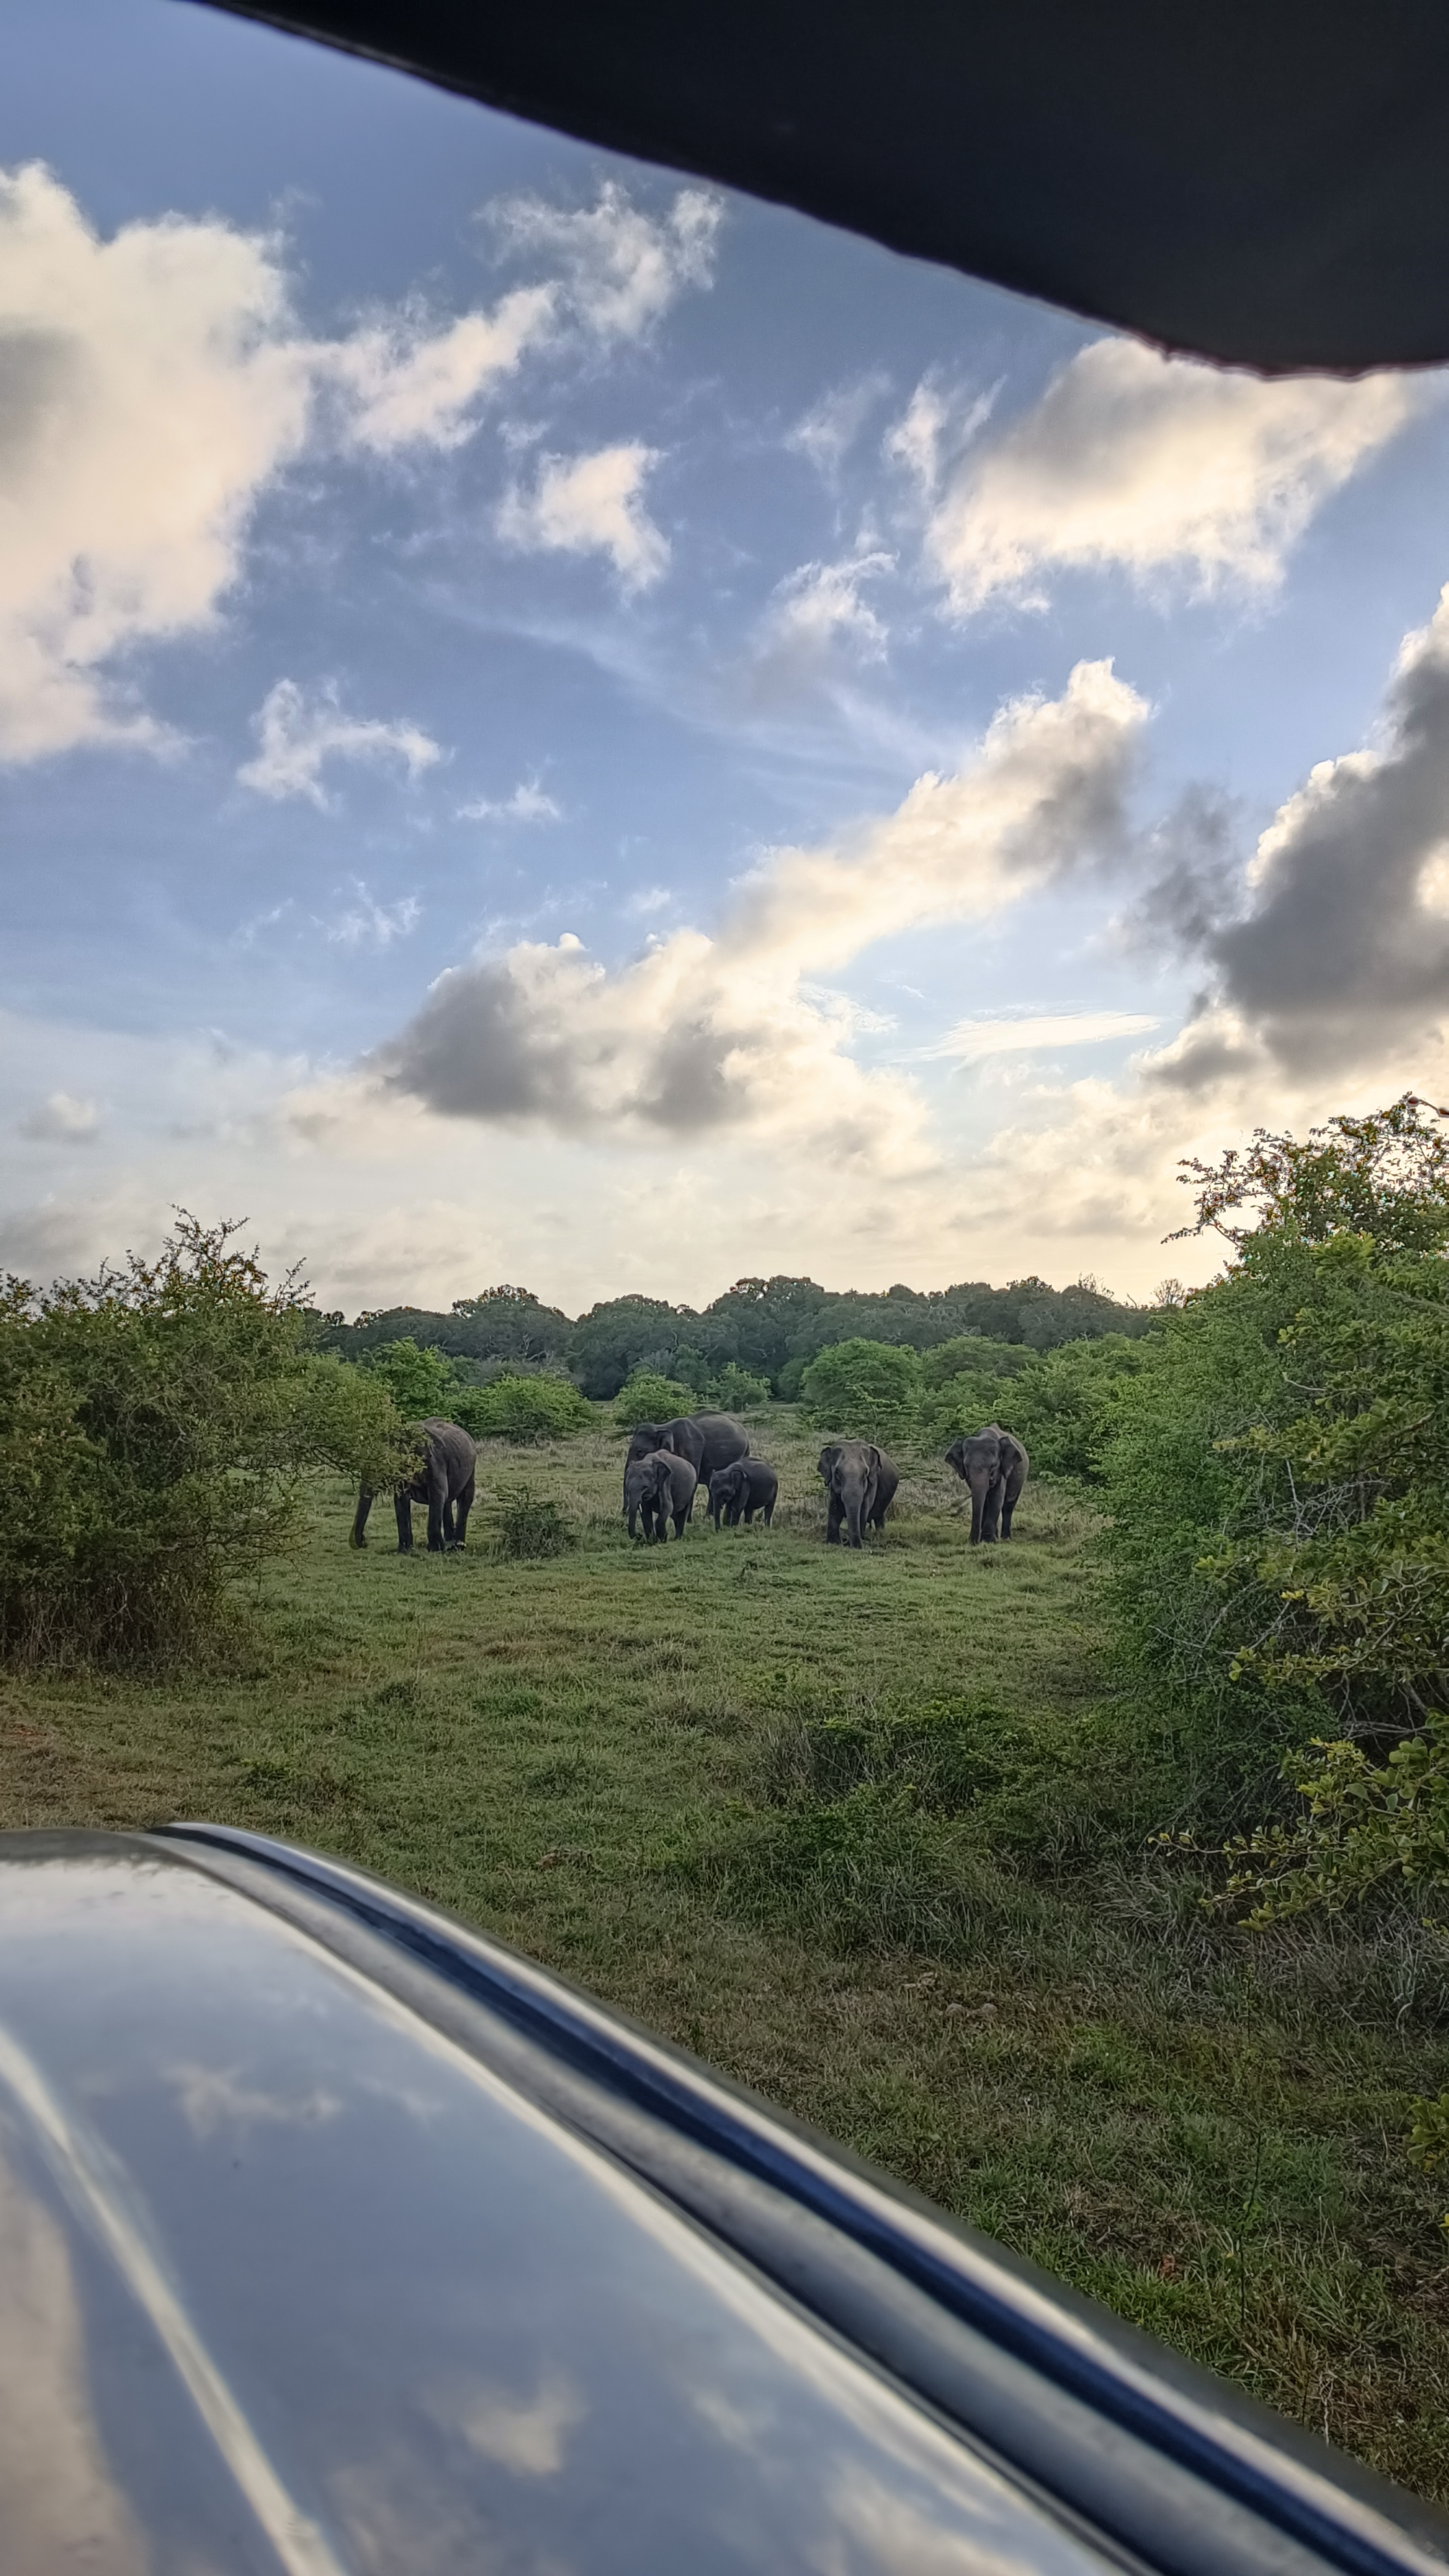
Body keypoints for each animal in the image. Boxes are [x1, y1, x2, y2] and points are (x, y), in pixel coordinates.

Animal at [348, 1422, 477, 1555]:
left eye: (382, 1467)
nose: (364, 1541)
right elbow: (401, 1501)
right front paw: (404, 1551)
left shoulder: (434, 1463)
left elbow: (438, 1495)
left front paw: (434, 1549)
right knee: (447, 1501)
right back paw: (449, 1541)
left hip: (471, 1468)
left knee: (465, 1497)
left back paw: (458, 1546)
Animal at [621, 1443, 696, 1535]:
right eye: (628, 1489)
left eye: (645, 1487)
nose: (638, 1535)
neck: (648, 1461)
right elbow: (646, 1513)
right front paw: (653, 1539)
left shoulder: (665, 1483)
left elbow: (667, 1508)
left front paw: (663, 1537)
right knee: (675, 1516)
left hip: (692, 1490)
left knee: (682, 1515)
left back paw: (678, 1537)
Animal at [815, 1443, 892, 1535]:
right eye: (838, 1473)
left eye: (865, 1474)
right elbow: (834, 1507)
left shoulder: (872, 1482)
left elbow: (864, 1509)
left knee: (879, 1517)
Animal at [938, 1422, 1026, 1535]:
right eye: (966, 1466)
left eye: (993, 1466)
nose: (972, 1540)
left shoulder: (1002, 1471)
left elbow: (996, 1499)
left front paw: (986, 1539)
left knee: (1008, 1505)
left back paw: (1005, 1537)